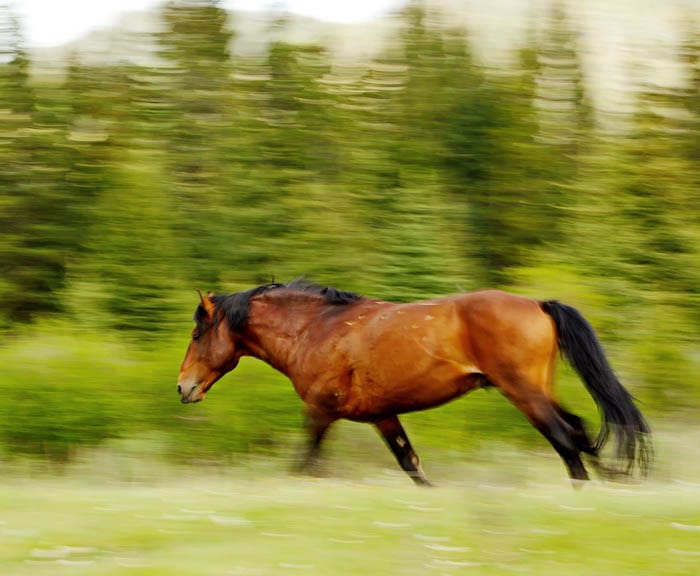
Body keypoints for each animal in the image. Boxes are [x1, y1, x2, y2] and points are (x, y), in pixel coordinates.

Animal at [176, 282, 652, 484]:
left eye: (197, 333)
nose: (183, 387)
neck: (316, 329)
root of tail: (539, 304)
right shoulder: (383, 416)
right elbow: (412, 465)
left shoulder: (320, 411)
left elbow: (303, 463)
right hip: (539, 391)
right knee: (578, 430)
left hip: (524, 394)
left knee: (565, 440)